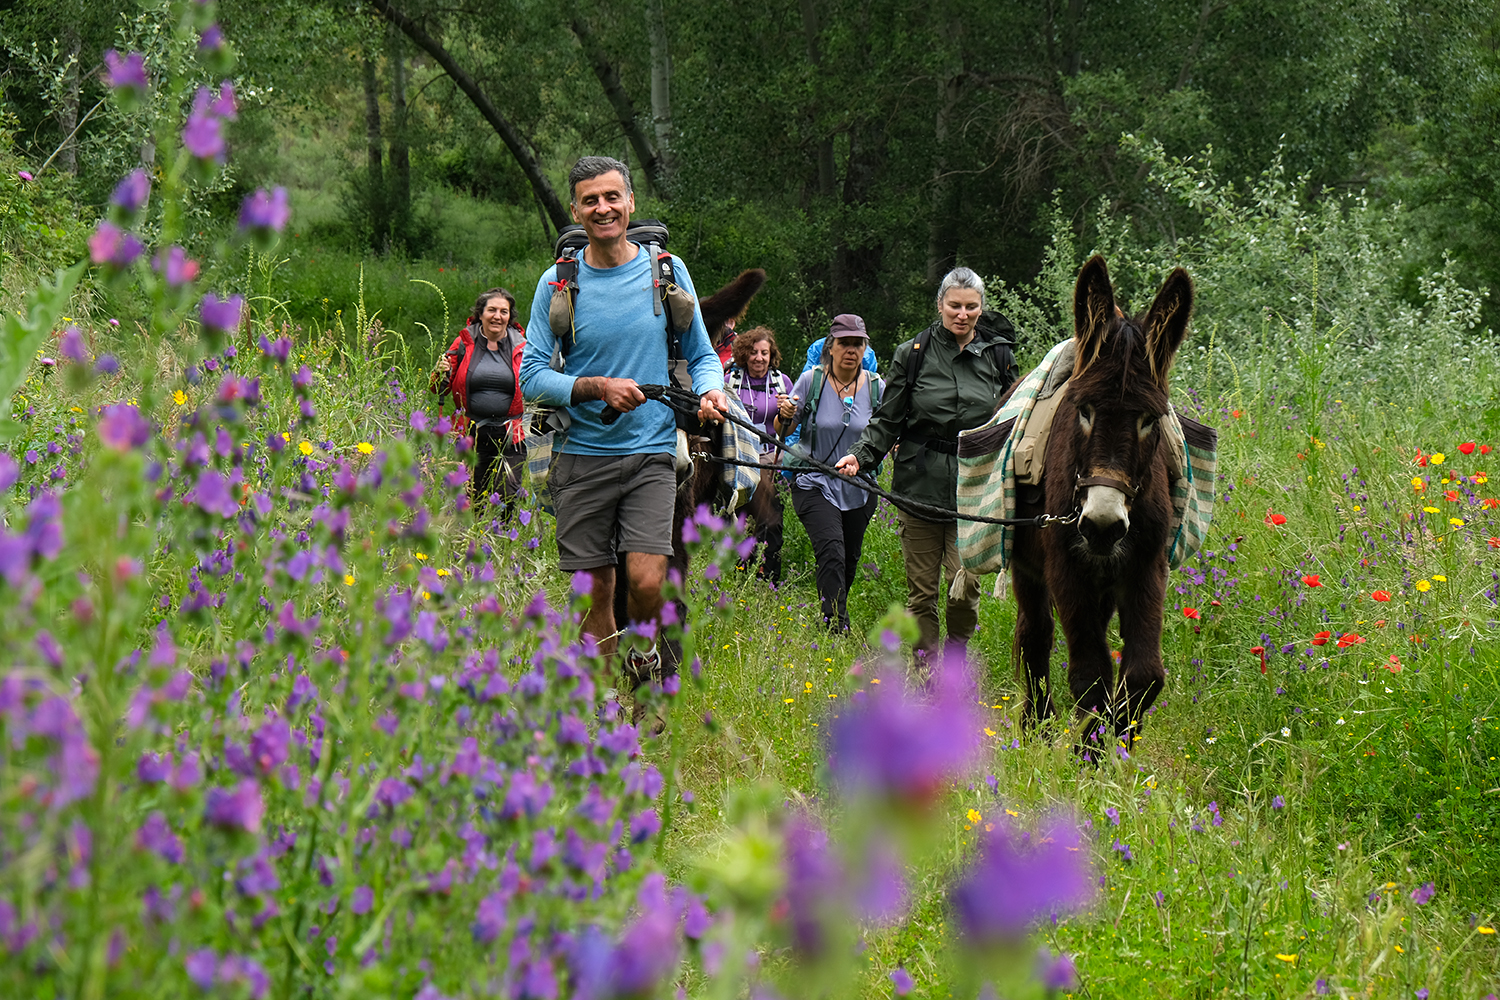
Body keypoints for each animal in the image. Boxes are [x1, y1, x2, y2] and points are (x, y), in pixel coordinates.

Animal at [1008, 255, 1193, 746]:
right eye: (1083, 410)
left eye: (1150, 419)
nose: (1102, 526)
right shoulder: (1066, 570)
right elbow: (1090, 675)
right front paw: (1086, 753)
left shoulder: (1146, 569)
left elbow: (1144, 674)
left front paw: (1121, 749)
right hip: (1028, 568)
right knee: (1035, 633)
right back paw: (1037, 726)